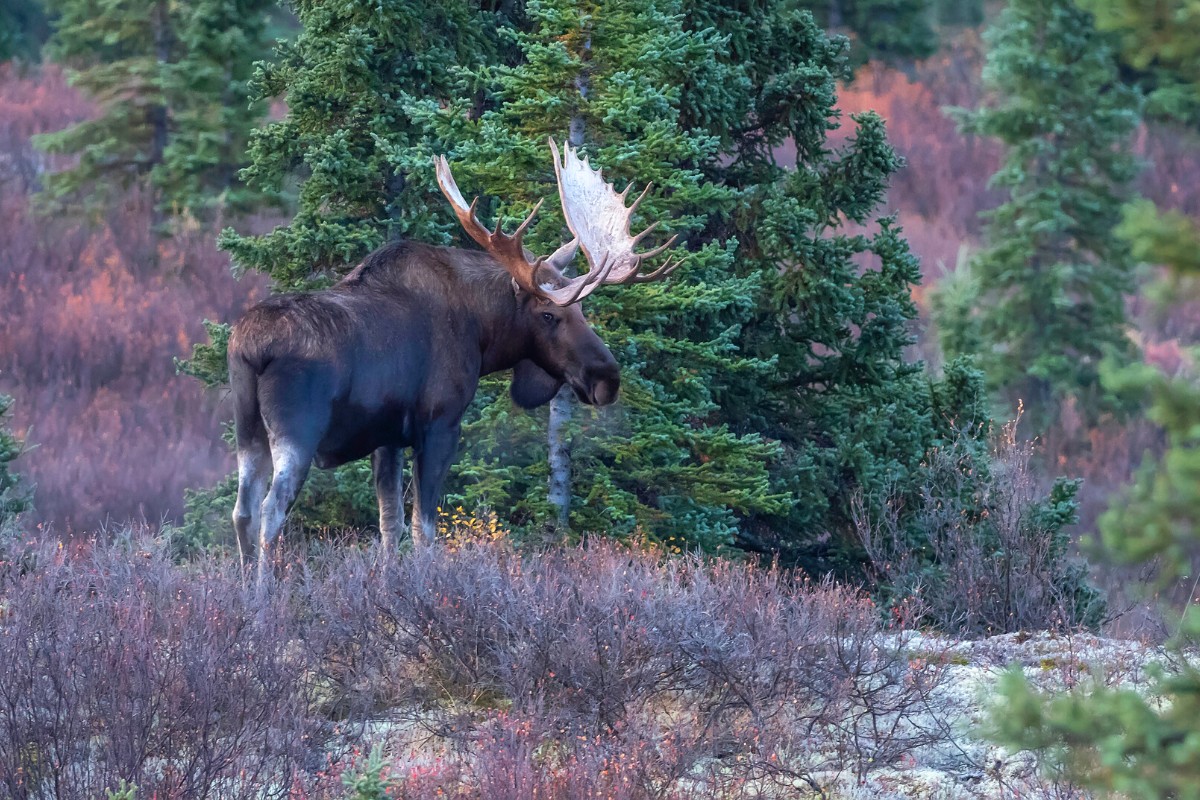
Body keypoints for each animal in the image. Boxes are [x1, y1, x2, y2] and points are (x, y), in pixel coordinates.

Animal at [224, 137, 676, 575]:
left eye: (583, 310)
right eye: (549, 313)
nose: (607, 378)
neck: (482, 332)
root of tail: (251, 348)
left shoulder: (388, 437)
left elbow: (390, 523)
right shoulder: (439, 423)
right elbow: (425, 528)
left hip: (248, 431)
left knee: (242, 511)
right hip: (297, 431)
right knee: (271, 510)